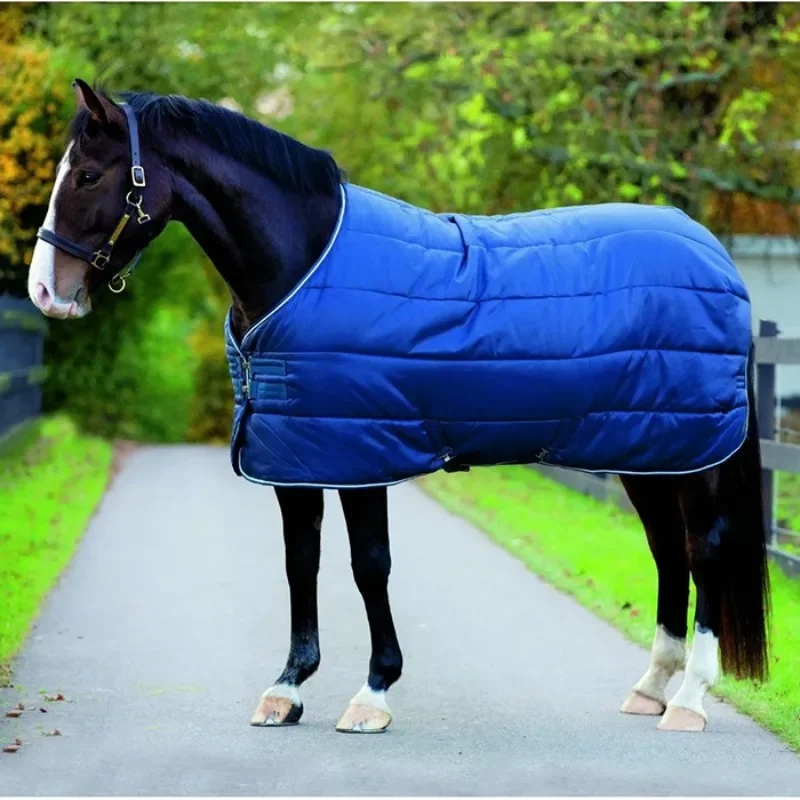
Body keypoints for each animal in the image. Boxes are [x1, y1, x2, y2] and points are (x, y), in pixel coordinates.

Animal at [27, 80, 769, 735]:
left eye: (88, 176)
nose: (45, 291)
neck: (303, 266)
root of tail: (716, 256)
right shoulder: (297, 457)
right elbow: (301, 561)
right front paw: (287, 688)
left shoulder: (362, 454)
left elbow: (369, 566)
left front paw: (373, 692)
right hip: (653, 454)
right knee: (669, 553)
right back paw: (651, 688)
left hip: (696, 457)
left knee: (704, 551)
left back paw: (690, 700)